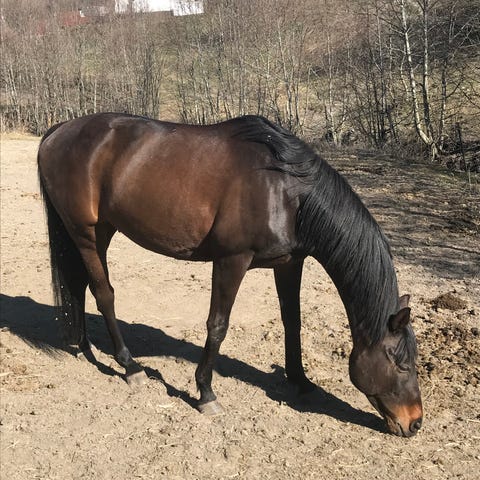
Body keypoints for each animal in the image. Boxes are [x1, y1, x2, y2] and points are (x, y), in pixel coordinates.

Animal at [37, 113, 423, 437]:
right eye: (400, 362)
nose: (415, 422)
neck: (285, 191)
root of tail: (59, 131)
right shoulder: (231, 261)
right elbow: (217, 326)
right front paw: (205, 392)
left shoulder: (289, 263)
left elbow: (292, 320)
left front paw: (300, 380)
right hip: (86, 232)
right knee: (104, 293)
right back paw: (129, 366)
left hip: (101, 230)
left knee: (80, 284)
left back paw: (84, 345)